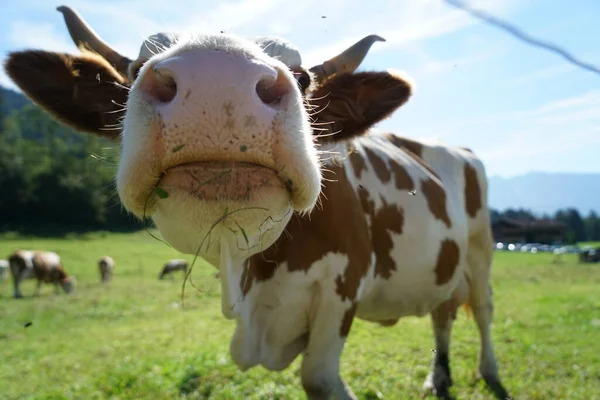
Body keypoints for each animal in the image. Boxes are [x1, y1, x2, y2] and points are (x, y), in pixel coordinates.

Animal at [3, 6, 510, 400]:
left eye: (304, 77)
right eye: (132, 70)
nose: (217, 80)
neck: (256, 281)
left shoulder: (342, 286)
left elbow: (318, 377)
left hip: (482, 247)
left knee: (483, 309)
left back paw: (490, 373)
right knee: (443, 314)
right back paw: (438, 377)